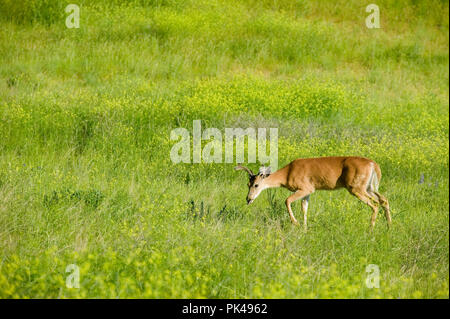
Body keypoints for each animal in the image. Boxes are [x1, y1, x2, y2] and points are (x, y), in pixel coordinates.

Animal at [234, 157, 392, 230]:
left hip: (356, 188)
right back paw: (389, 226)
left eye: (256, 184)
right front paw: (305, 228)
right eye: (247, 184)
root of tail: (374, 165)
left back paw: (370, 229)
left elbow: (287, 200)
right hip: (370, 187)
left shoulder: (305, 188)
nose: (248, 199)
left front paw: (296, 223)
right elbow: (304, 208)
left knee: (375, 204)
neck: (287, 173)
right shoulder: (308, 192)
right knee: (384, 200)